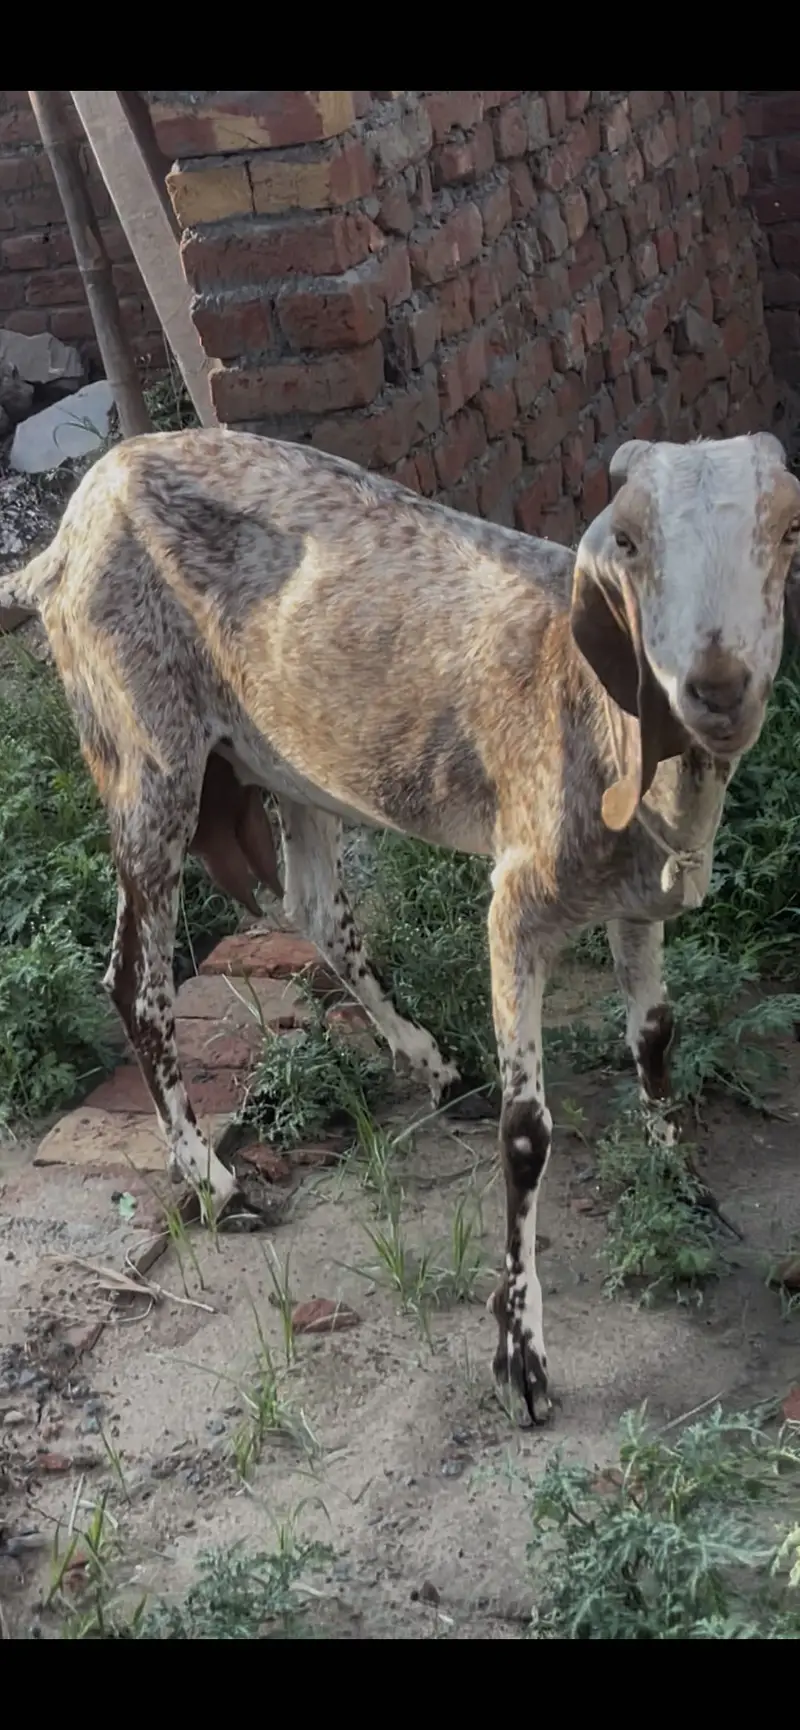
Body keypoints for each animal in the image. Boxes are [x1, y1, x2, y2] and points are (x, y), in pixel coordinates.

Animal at [2, 428, 798, 1427]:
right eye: (627, 539)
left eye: (788, 530)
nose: (716, 687)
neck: (587, 706)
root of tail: (66, 532)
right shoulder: (515, 906)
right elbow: (528, 1133)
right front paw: (520, 1356)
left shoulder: (638, 899)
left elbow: (654, 1039)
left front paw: (684, 1187)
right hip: (146, 751)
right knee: (134, 980)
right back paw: (217, 1185)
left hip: (287, 756)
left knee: (314, 907)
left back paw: (430, 1063)